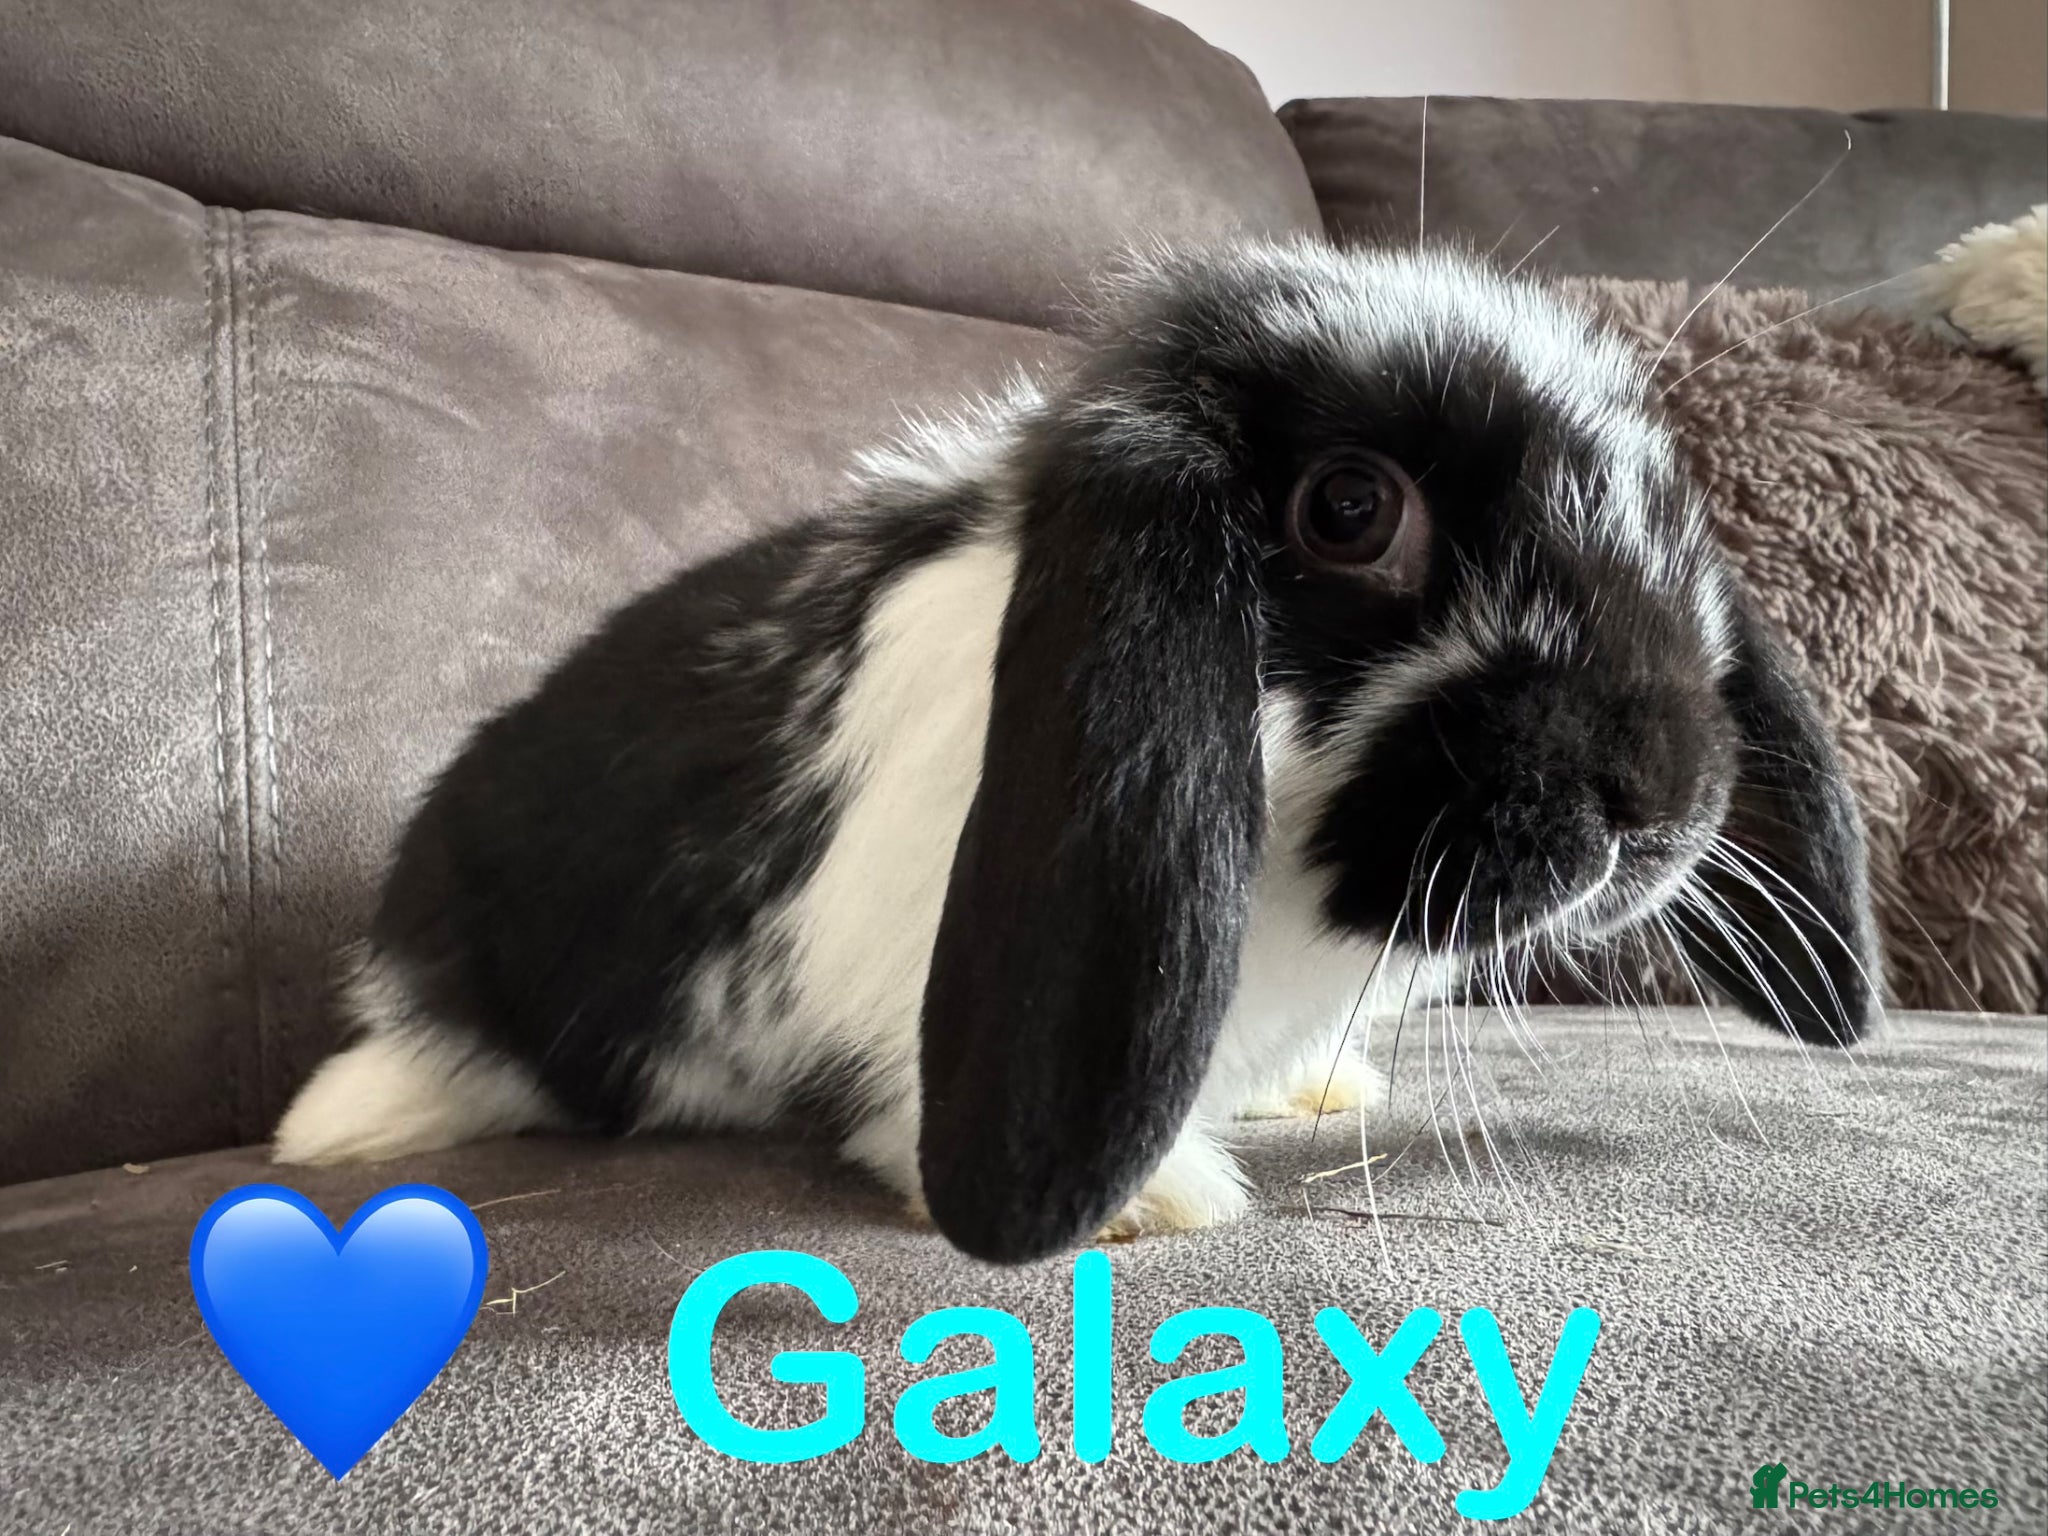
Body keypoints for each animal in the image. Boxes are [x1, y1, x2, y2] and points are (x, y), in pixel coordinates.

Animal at [274, 238, 1881, 1264]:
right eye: (1350, 510)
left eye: (1667, 507)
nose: (1661, 792)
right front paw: (1153, 1203)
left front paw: (1315, 1092)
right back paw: (337, 1126)